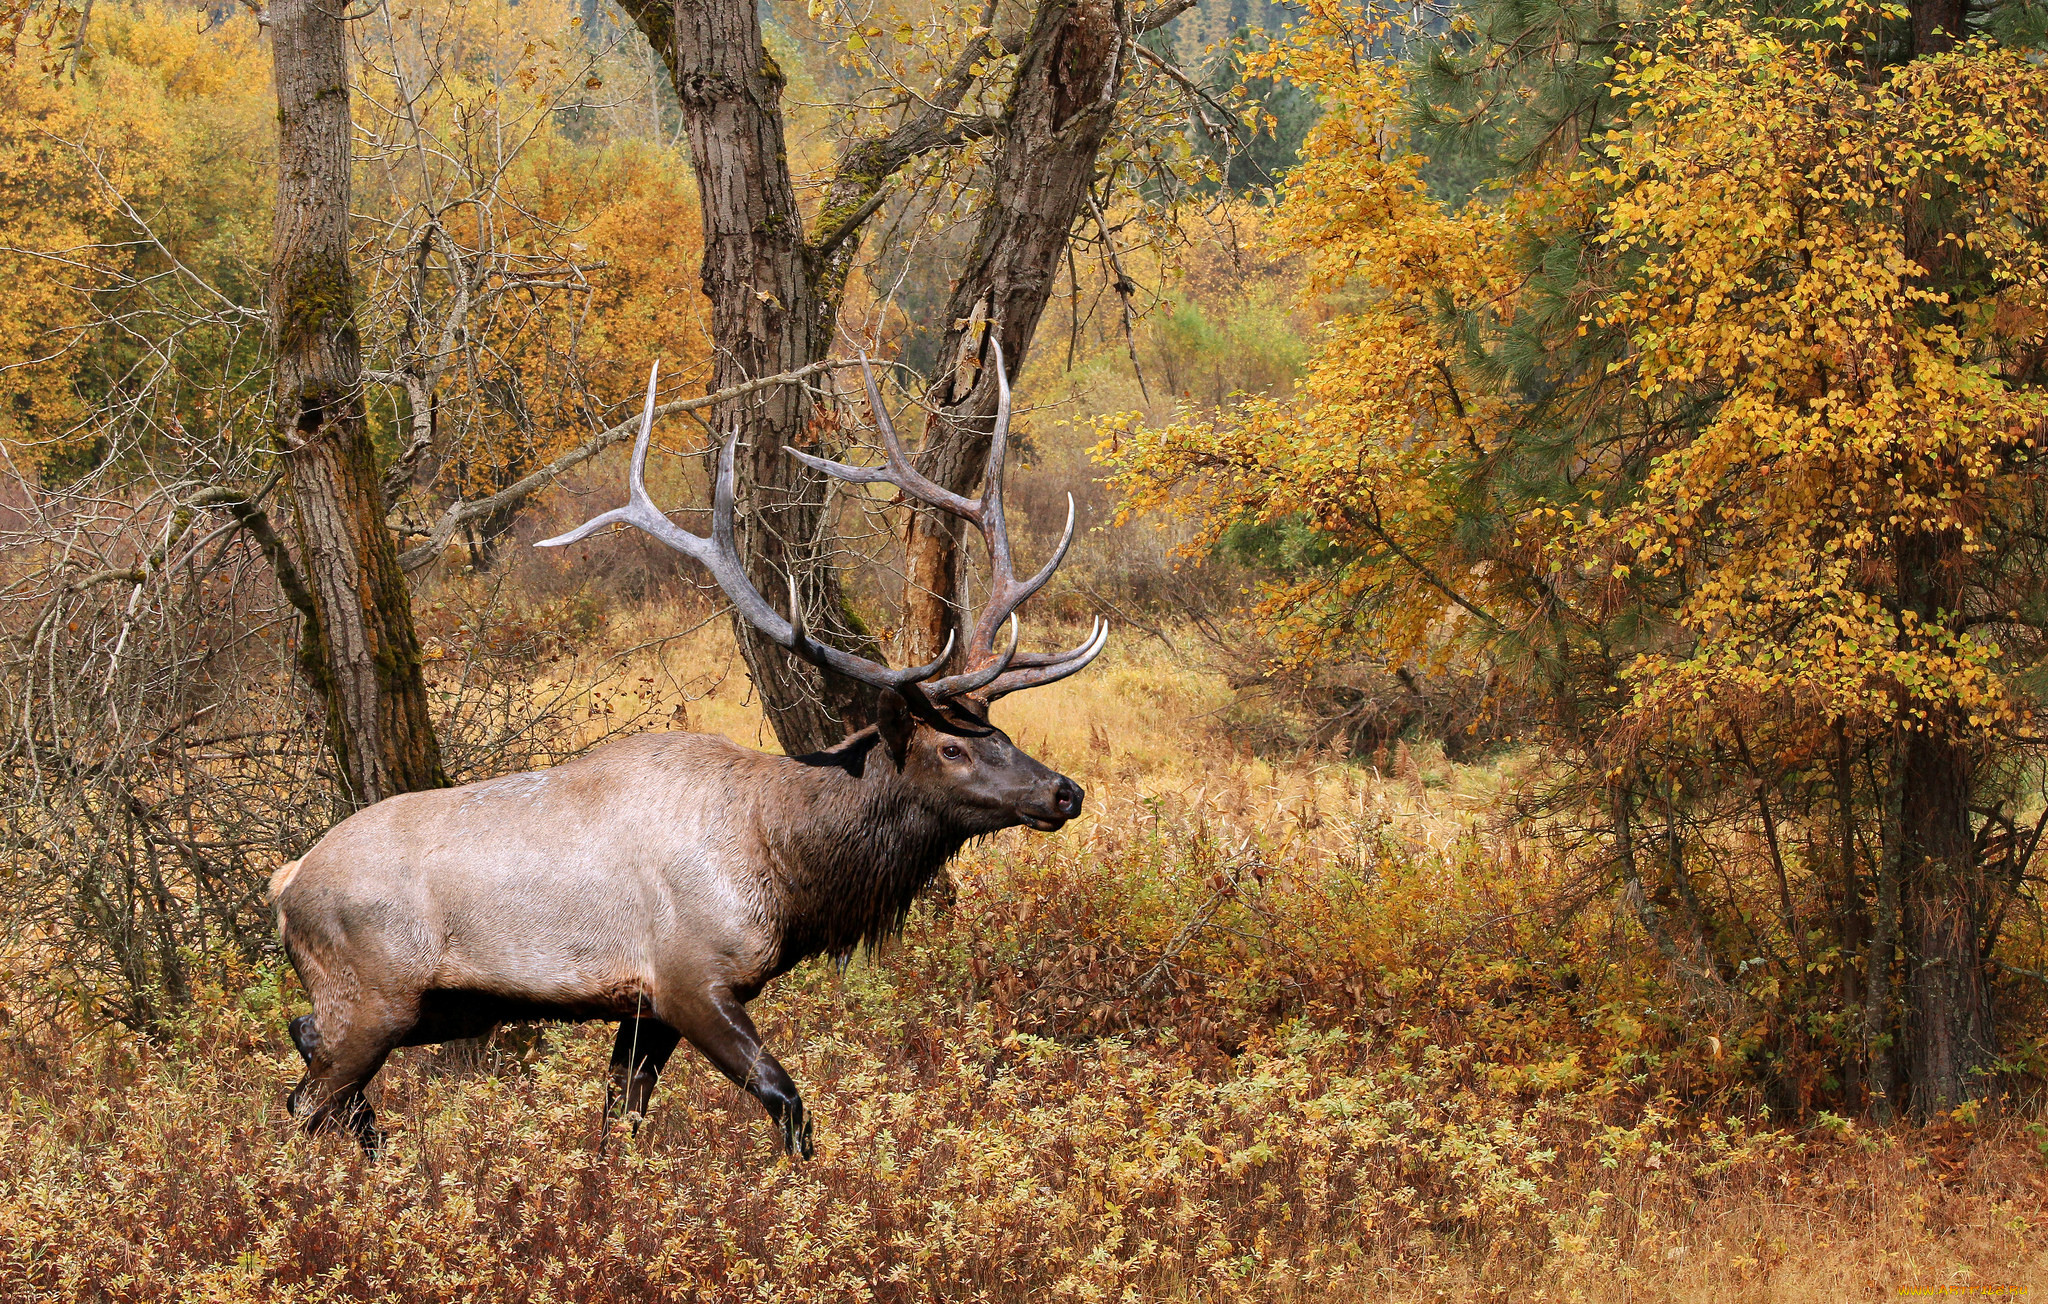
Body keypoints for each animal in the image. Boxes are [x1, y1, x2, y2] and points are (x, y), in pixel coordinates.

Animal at [274, 345, 1114, 1146]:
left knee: (311, 1055)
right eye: (951, 750)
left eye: (1001, 732)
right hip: (372, 991)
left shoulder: (642, 1009)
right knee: (304, 1101)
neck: (786, 864)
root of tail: (286, 885)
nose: (1064, 790)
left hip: (430, 1006)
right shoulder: (689, 979)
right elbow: (788, 1102)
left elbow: (623, 1122)